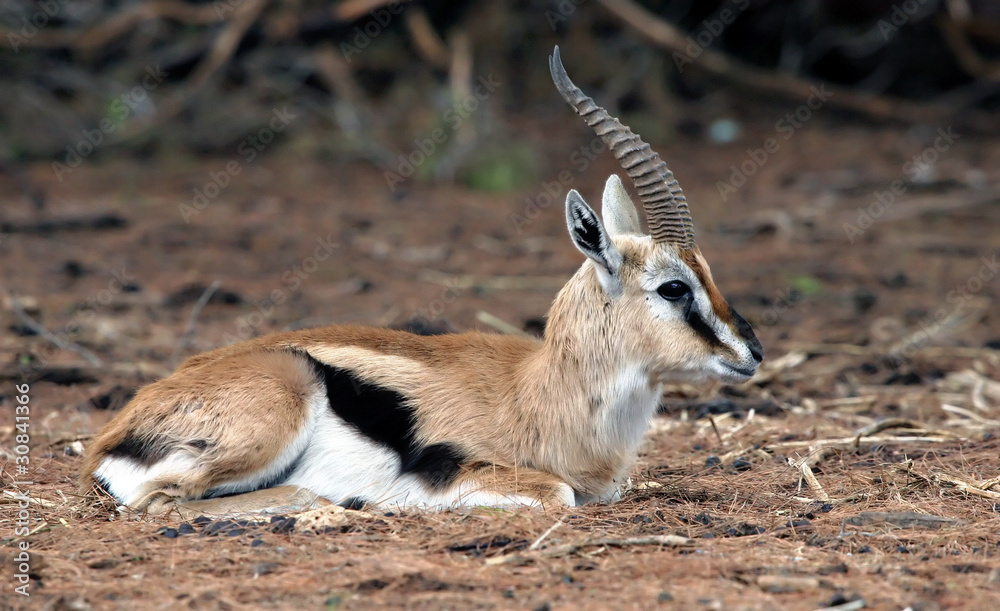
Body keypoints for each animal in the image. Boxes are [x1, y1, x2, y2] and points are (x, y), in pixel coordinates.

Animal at [80, 47, 762, 515]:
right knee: (169, 502)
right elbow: (558, 494)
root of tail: (113, 434)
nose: (751, 352)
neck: (541, 393)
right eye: (673, 287)